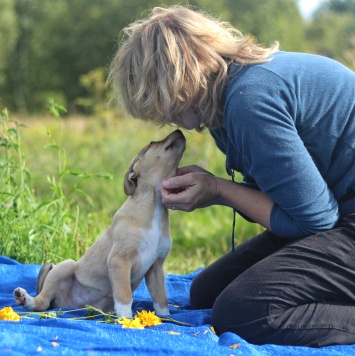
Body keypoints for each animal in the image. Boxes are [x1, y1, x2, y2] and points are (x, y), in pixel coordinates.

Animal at [13, 129, 186, 318]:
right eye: (153, 143)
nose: (179, 130)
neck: (153, 206)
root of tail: (70, 306)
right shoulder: (119, 260)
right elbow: (124, 295)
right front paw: (127, 319)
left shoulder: (156, 268)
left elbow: (161, 298)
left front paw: (165, 318)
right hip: (66, 266)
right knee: (41, 302)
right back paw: (24, 298)